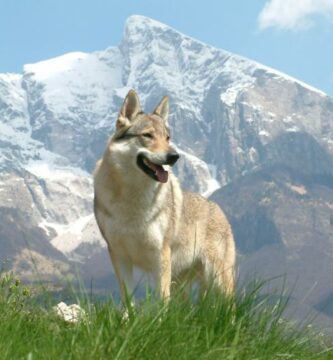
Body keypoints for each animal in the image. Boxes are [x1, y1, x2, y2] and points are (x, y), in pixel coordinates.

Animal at [92, 90, 235, 300]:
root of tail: (219, 210)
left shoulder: (160, 256)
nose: (174, 156)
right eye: (148, 135)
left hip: (217, 278)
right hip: (182, 282)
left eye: (167, 138)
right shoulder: (119, 255)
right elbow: (128, 299)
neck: (133, 198)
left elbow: (162, 300)